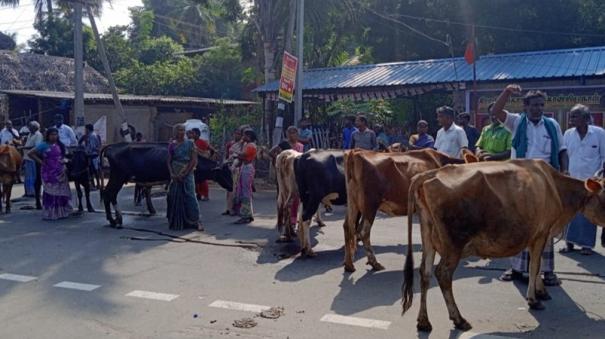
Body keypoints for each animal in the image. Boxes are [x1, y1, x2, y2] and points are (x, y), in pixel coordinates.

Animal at [99, 142, 231, 227]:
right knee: (109, 194)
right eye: (224, 172)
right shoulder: (170, 180)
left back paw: (114, 219)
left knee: (108, 194)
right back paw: (115, 219)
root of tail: (111, 146)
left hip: (117, 177)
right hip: (118, 176)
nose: (232, 186)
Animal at [402, 161, 604, 334]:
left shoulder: (539, 235)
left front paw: (541, 291)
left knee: (425, 273)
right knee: (442, 274)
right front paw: (533, 300)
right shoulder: (541, 233)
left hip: (428, 236)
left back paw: (424, 322)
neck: (555, 187)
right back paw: (459, 319)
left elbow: (537, 265)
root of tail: (432, 173)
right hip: (454, 245)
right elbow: (534, 266)